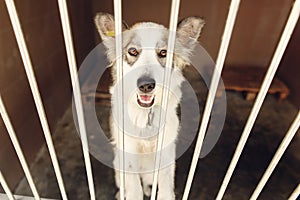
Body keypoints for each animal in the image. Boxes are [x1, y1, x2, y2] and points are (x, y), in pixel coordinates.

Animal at [95, 13, 205, 199]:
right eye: (132, 51)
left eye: (163, 52)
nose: (146, 85)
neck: (145, 114)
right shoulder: (127, 149)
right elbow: (134, 188)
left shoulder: (166, 149)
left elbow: (166, 184)